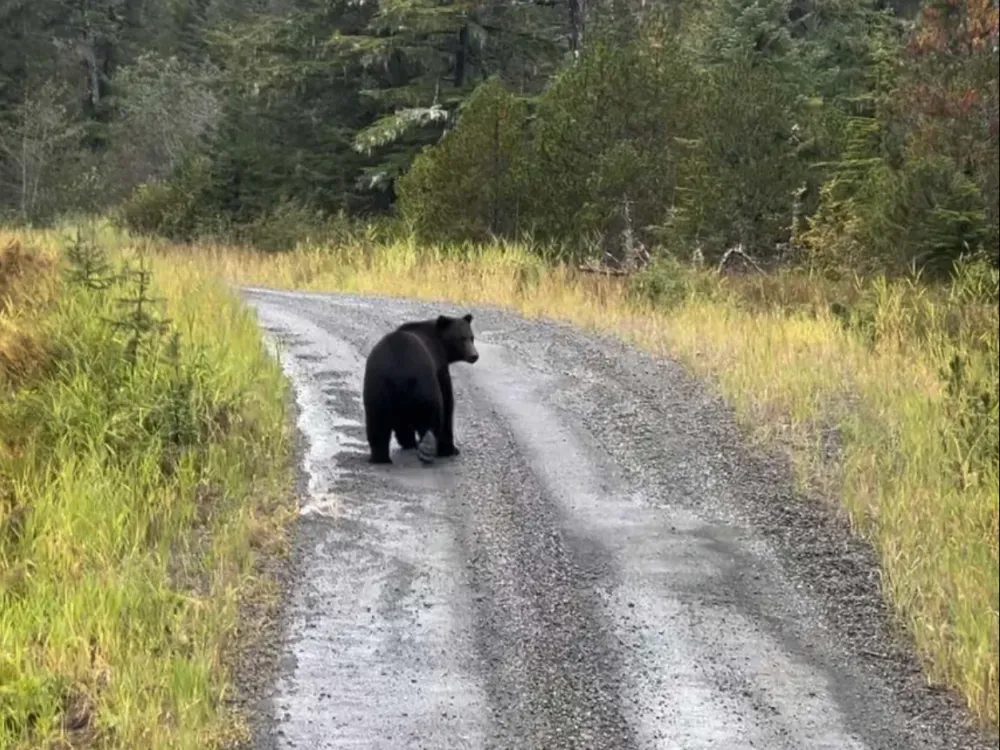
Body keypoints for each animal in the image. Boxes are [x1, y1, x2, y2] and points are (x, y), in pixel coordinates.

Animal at [362, 313, 479, 465]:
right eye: (461, 338)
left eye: (472, 337)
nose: (474, 355)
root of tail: (397, 370)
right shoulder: (439, 367)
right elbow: (447, 402)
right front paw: (452, 449)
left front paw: (408, 441)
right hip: (423, 384)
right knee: (432, 414)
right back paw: (430, 448)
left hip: (377, 387)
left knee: (377, 422)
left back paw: (380, 457)